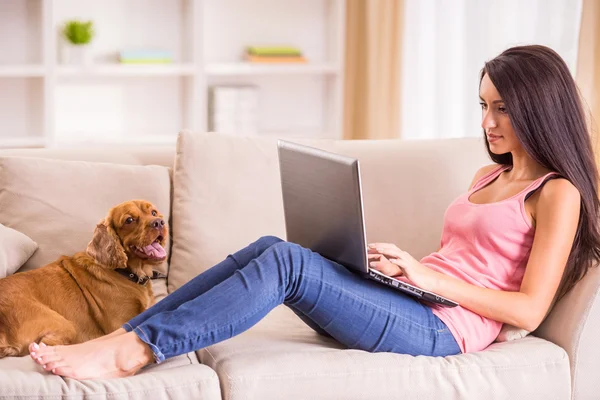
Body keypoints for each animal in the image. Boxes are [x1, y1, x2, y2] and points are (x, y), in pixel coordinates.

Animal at [0, 198, 168, 358]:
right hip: (63, 325)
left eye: (154, 212)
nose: (159, 222)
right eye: (129, 220)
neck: (127, 273)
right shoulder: (121, 323)